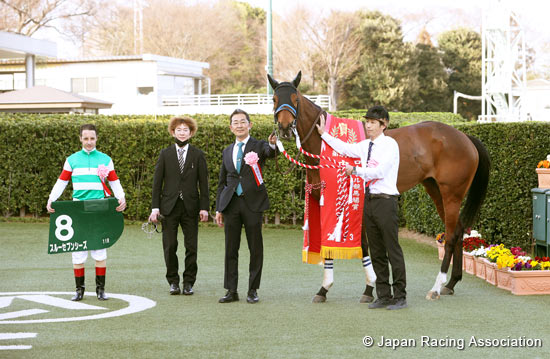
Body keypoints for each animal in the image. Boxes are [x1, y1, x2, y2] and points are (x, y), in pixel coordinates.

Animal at [270, 71, 490, 300]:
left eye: (294, 98)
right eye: (275, 99)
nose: (284, 128)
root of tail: (465, 137)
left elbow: (364, 245)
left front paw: (369, 288)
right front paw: (324, 289)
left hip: (451, 194)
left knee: (451, 235)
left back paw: (437, 287)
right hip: (435, 190)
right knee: (458, 230)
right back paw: (452, 282)